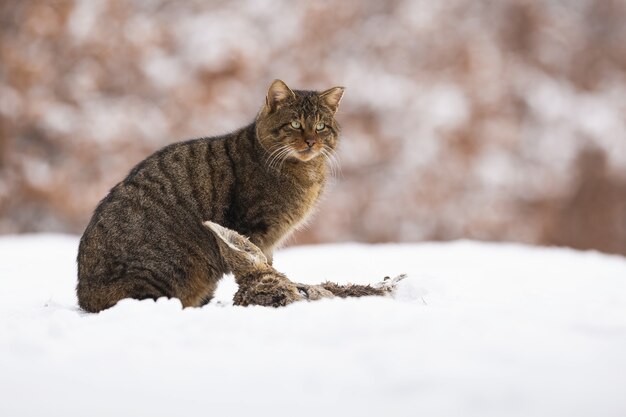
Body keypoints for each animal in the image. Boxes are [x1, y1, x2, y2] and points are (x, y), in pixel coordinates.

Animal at [77, 79, 346, 310]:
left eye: (320, 126)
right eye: (295, 124)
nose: (311, 142)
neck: (306, 173)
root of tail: (84, 297)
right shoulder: (255, 229)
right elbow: (256, 263)